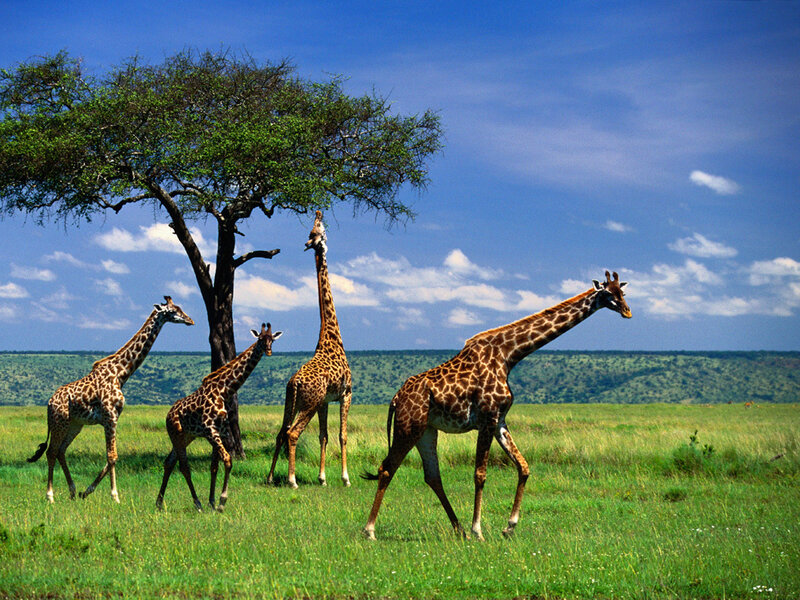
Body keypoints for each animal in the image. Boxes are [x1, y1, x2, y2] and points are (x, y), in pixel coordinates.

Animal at [27, 296, 194, 503]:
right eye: (173, 310)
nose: (190, 320)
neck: (120, 374)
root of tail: (49, 403)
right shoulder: (110, 416)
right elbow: (112, 456)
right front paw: (115, 496)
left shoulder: (114, 417)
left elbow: (112, 456)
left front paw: (87, 491)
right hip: (60, 422)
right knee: (51, 451)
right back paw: (50, 496)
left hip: (75, 425)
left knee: (60, 451)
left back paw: (73, 491)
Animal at [156, 323, 282, 512]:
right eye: (260, 339)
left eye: (272, 339)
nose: (268, 351)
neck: (224, 391)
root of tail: (168, 414)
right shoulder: (210, 429)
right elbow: (228, 460)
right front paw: (222, 502)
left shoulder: (221, 430)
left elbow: (214, 466)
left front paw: (213, 501)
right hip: (175, 433)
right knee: (183, 466)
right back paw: (197, 504)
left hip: (186, 436)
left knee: (169, 462)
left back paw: (159, 503)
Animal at [267, 210, 352, 488]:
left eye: (314, 232)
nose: (309, 243)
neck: (332, 336)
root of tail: (294, 382)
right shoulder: (346, 393)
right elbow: (342, 434)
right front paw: (345, 478)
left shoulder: (326, 400)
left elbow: (323, 435)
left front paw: (322, 478)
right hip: (309, 404)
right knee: (292, 433)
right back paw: (292, 479)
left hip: (292, 401)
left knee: (281, 432)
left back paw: (270, 477)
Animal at [362, 271, 632, 540]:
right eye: (608, 293)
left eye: (623, 292)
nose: (628, 312)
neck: (508, 355)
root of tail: (396, 399)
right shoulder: (487, 417)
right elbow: (480, 474)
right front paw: (479, 530)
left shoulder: (500, 420)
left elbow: (523, 467)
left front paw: (509, 526)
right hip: (409, 426)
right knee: (387, 468)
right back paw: (370, 530)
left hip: (426, 430)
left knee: (432, 476)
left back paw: (459, 529)